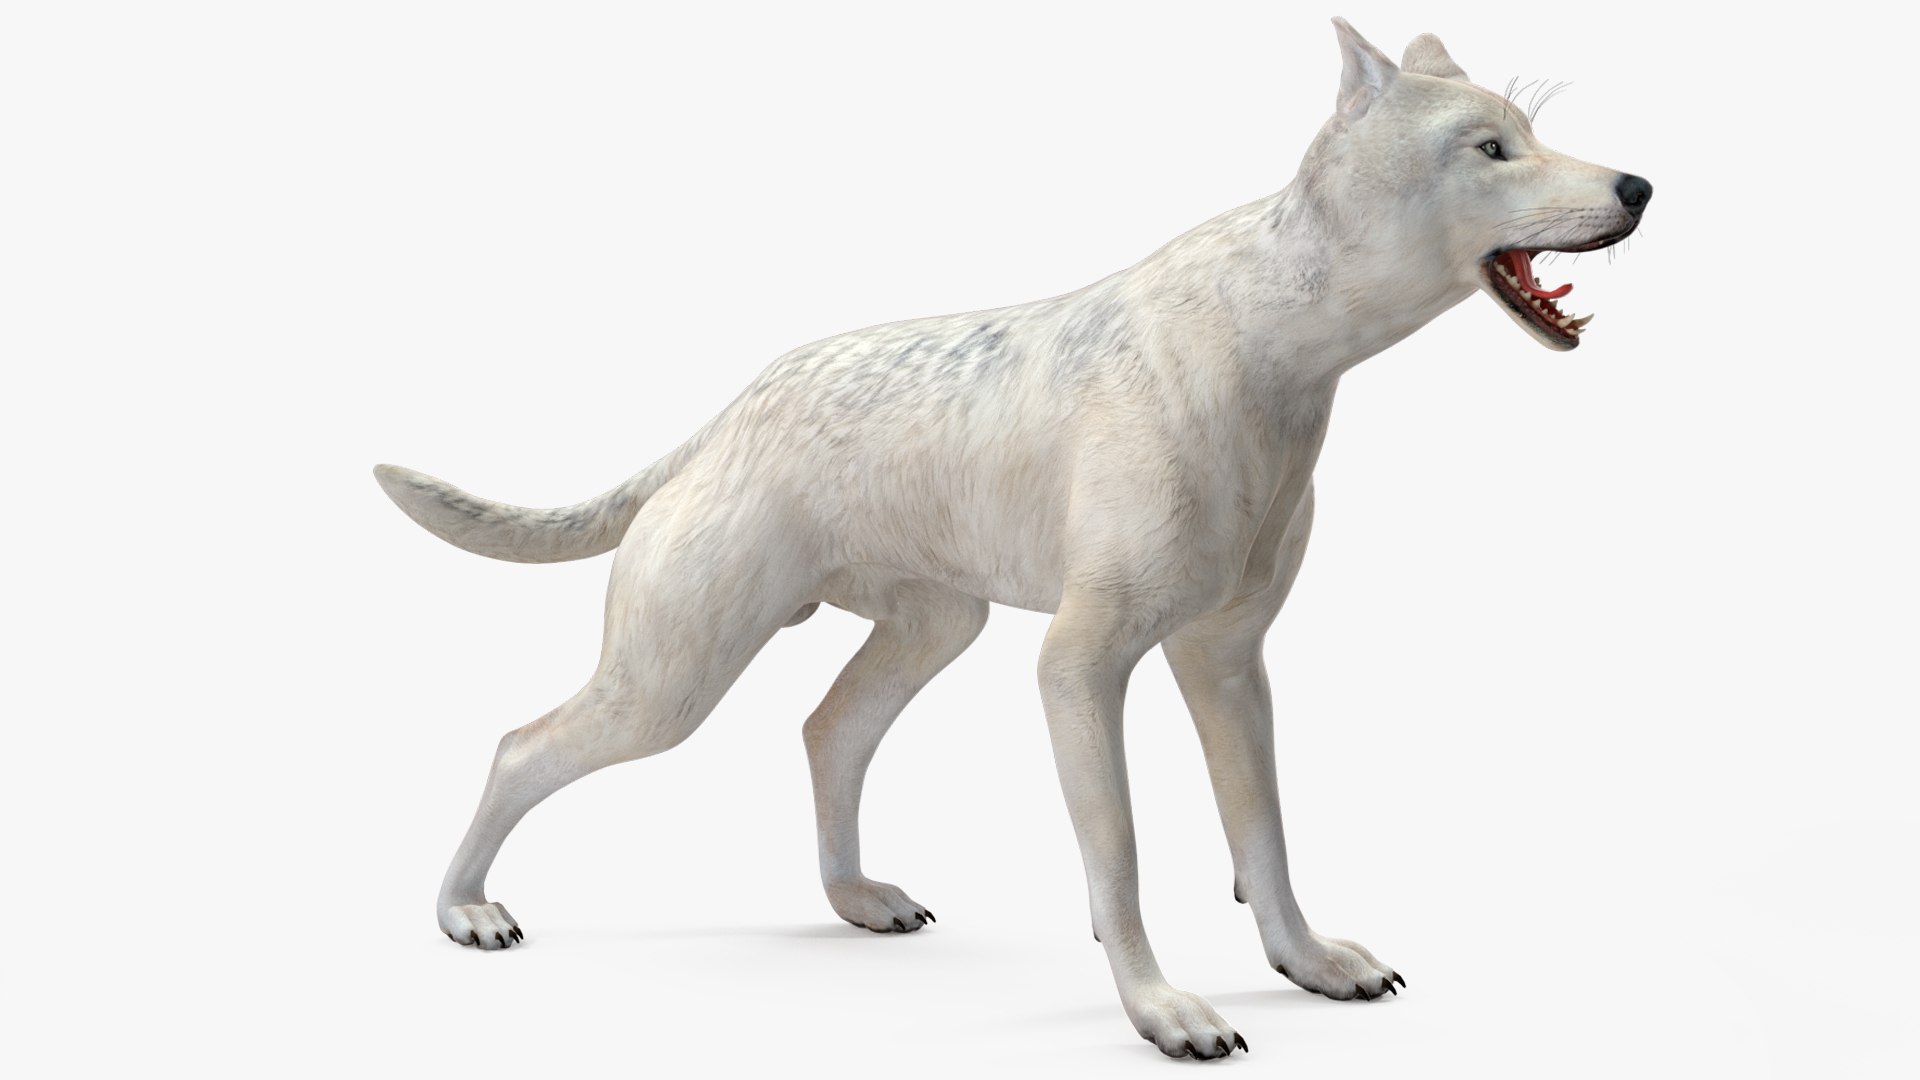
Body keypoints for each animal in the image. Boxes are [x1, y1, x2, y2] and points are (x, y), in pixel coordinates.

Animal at [375, 18, 1649, 1059]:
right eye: (1490, 149)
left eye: (1535, 132)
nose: (1639, 184)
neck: (1277, 346)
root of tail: (736, 406)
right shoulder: (1080, 666)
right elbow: (1122, 857)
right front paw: (1162, 1013)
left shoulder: (1226, 662)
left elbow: (1266, 837)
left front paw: (1309, 965)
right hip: (671, 683)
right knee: (521, 747)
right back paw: (464, 910)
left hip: (936, 630)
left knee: (826, 731)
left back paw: (858, 898)